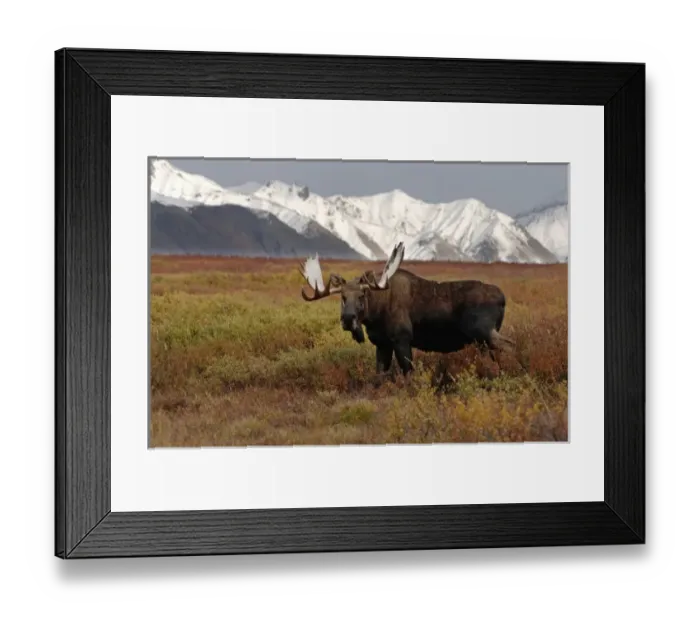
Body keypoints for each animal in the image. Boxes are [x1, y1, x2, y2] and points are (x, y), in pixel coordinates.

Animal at [298, 242, 515, 376]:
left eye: (361, 296)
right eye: (342, 298)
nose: (348, 318)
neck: (375, 315)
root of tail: (502, 298)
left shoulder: (402, 338)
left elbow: (408, 371)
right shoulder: (382, 344)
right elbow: (380, 374)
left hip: (483, 332)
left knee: (510, 345)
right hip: (482, 341)